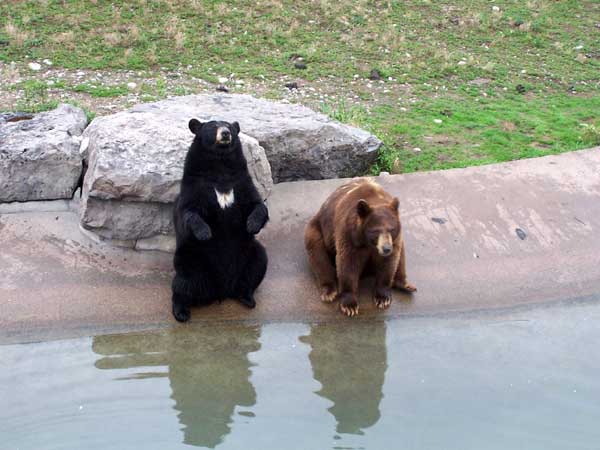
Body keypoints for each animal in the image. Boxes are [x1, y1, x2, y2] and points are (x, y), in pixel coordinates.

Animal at [171, 118, 270, 324]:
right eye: (213, 126)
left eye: (229, 126)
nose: (225, 133)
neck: (220, 164)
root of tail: (222, 291)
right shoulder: (195, 185)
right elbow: (188, 212)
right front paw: (205, 232)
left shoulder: (242, 182)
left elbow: (257, 204)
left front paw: (252, 225)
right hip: (192, 259)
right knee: (183, 283)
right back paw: (181, 312)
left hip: (249, 253)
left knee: (258, 265)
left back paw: (247, 297)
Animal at [304, 178, 418, 316]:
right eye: (375, 230)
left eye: (391, 229)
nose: (386, 248)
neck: (368, 243)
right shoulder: (349, 235)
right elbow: (348, 264)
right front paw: (350, 305)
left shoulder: (394, 240)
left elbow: (388, 263)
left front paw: (383, 298)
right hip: (318, 229)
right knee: (318, 253)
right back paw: (329, 291)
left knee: (401, 256)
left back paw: (405, 284)